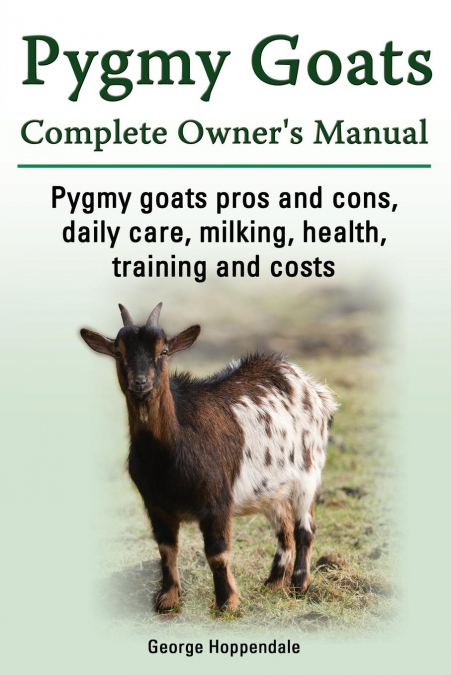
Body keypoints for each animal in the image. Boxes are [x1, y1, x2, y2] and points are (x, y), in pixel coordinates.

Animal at [81, 302, 338, 612]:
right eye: (118, 352)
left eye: (163, 351)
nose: (140, 383)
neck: (167, 455)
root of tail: (314, 388)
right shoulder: (155, 505)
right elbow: (166, 550)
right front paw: (167, 600)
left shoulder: (217, 502)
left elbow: (217, 554)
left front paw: (226, 602)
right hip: (270, 488)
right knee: (284, 529)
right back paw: (273, 583)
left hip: (308, 473)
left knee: (304, 528)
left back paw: (299, 585)